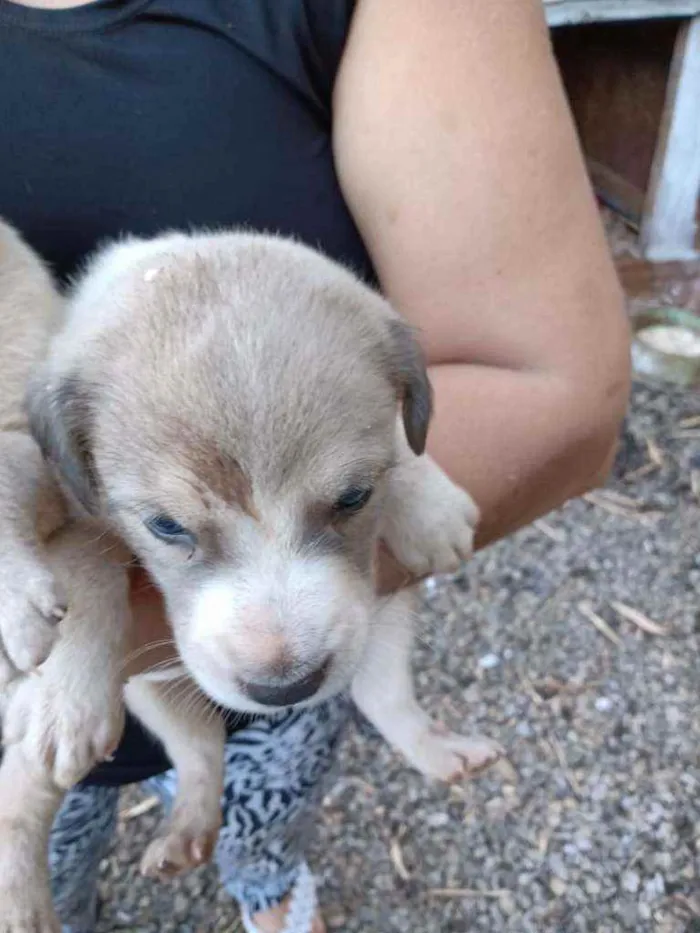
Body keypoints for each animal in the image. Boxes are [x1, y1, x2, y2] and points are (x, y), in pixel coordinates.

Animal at [1, 229, 504, 928]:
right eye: (165, 526)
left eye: (354, 498)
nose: (284, 689)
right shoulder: (74, 514)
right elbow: (90, 563)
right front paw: (64, 696)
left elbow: (400, 447)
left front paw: (428, 503)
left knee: (367, 701)